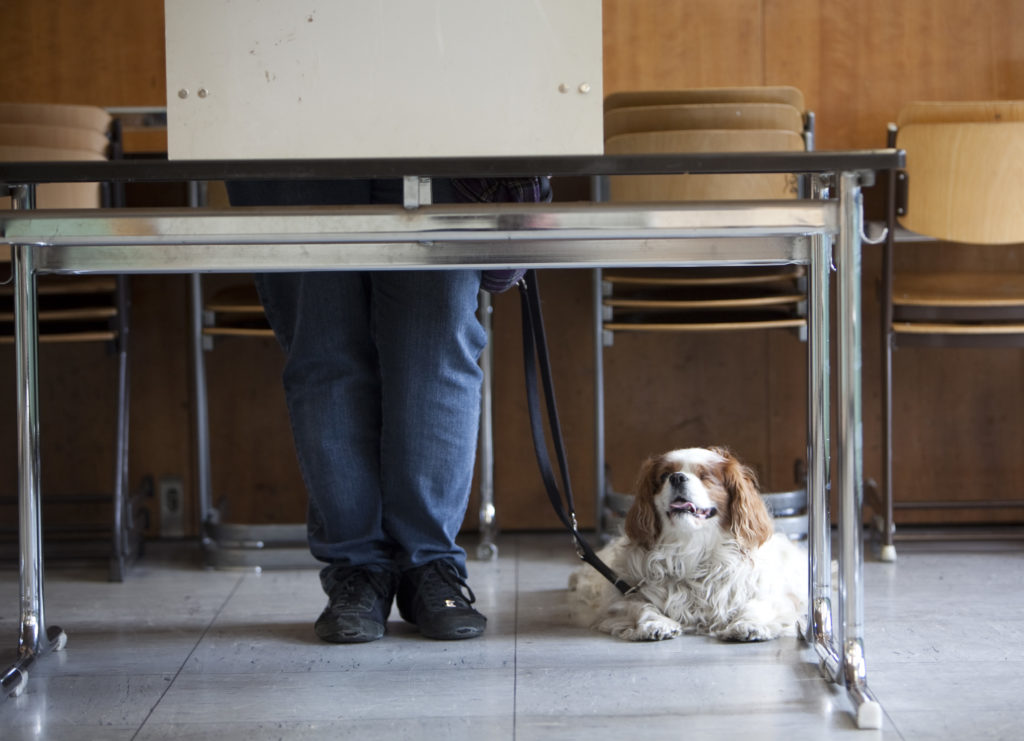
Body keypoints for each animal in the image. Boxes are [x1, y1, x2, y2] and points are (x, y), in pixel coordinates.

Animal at [569, 446, 806, 642]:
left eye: (705, 476)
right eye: (664, 475)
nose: (677, 477)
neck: (690, 546)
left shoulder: (776, 596)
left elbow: (758, 605)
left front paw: (749, 625)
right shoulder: (621, 597)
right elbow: (640, 606)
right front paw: (655, 624)